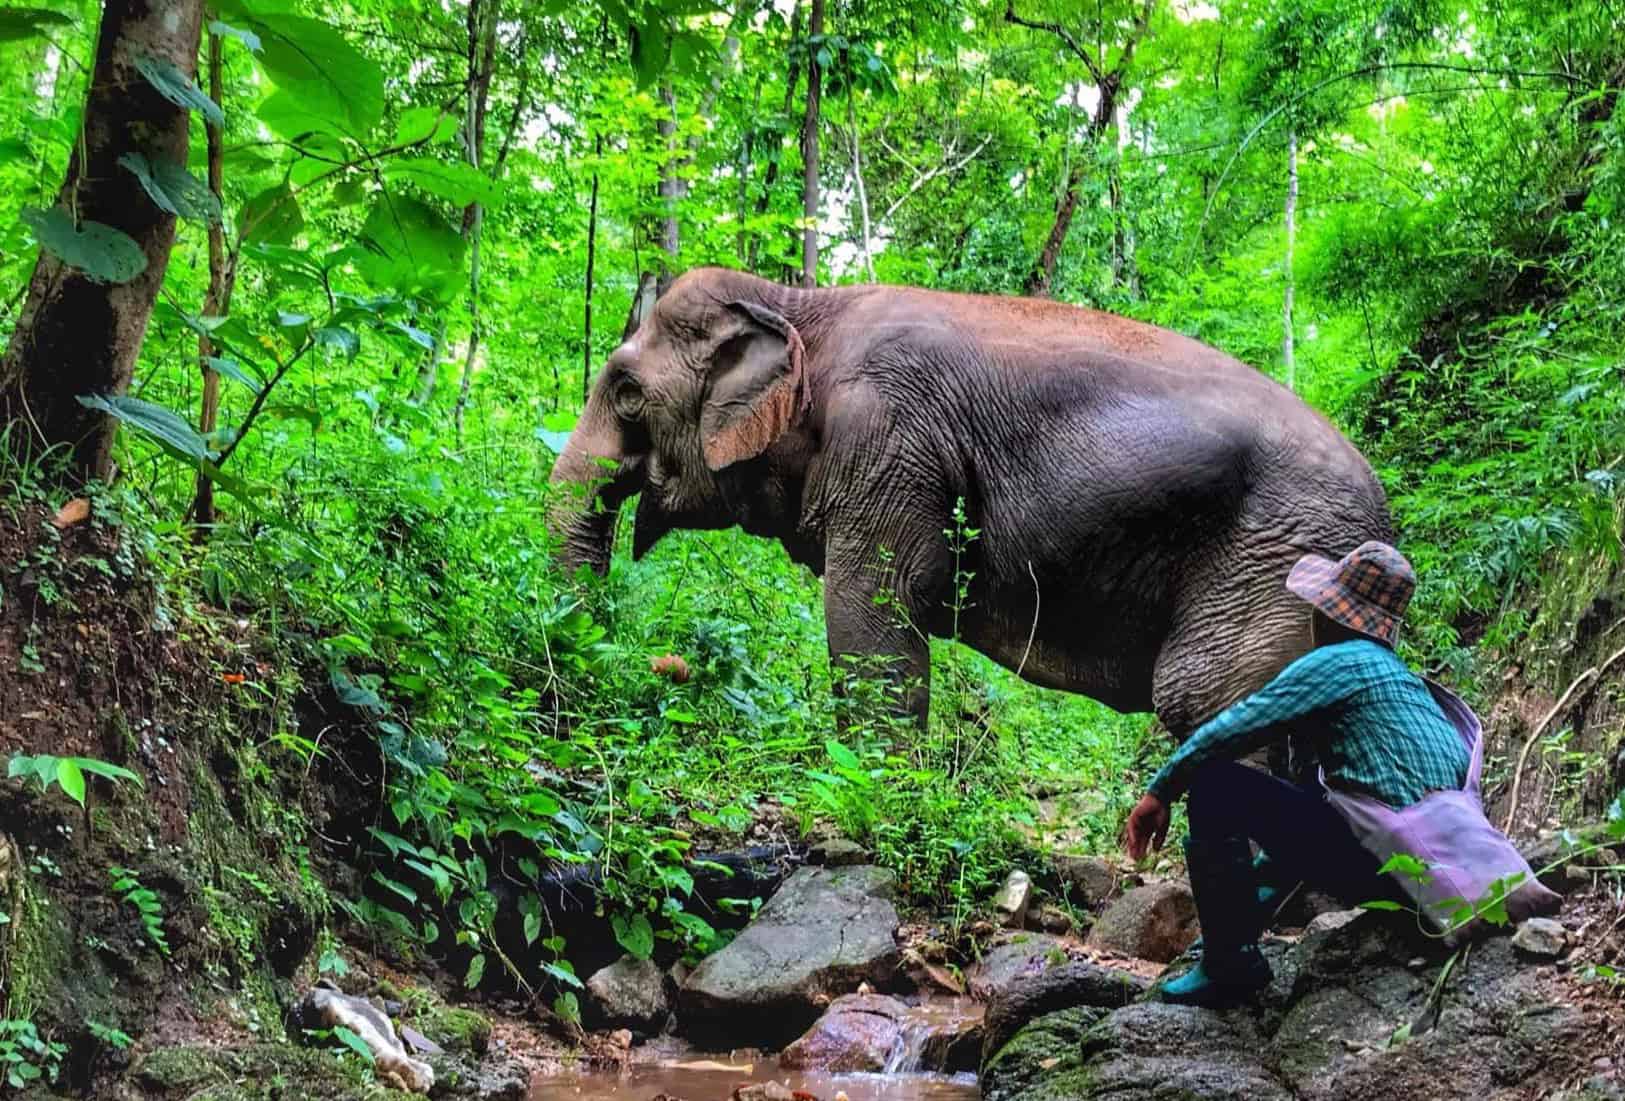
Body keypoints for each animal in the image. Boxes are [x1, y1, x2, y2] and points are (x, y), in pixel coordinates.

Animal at [547, 267, 1393, 735]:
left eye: (625, 393)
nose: (657, 665)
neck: (801, 303)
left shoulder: (890, 439)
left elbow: (869, 614)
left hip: (1275, 554)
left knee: (1205, 693)